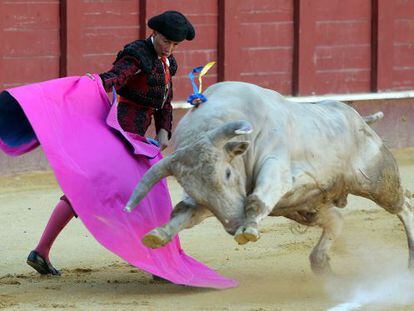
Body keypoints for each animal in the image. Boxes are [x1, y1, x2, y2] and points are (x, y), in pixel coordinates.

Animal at [123, 81, 414, 274]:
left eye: (227, 172)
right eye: (193, 189)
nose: (235, 224)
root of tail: (359, 119)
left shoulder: (275, 169)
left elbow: (256, 198)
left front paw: (249, 229)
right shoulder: (218, 201)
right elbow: (184, 213)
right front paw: (158, 235)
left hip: (377, 179)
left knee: (404, 206)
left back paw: (410, 261)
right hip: (305, 207)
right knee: (336, 221)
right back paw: (321, 264)